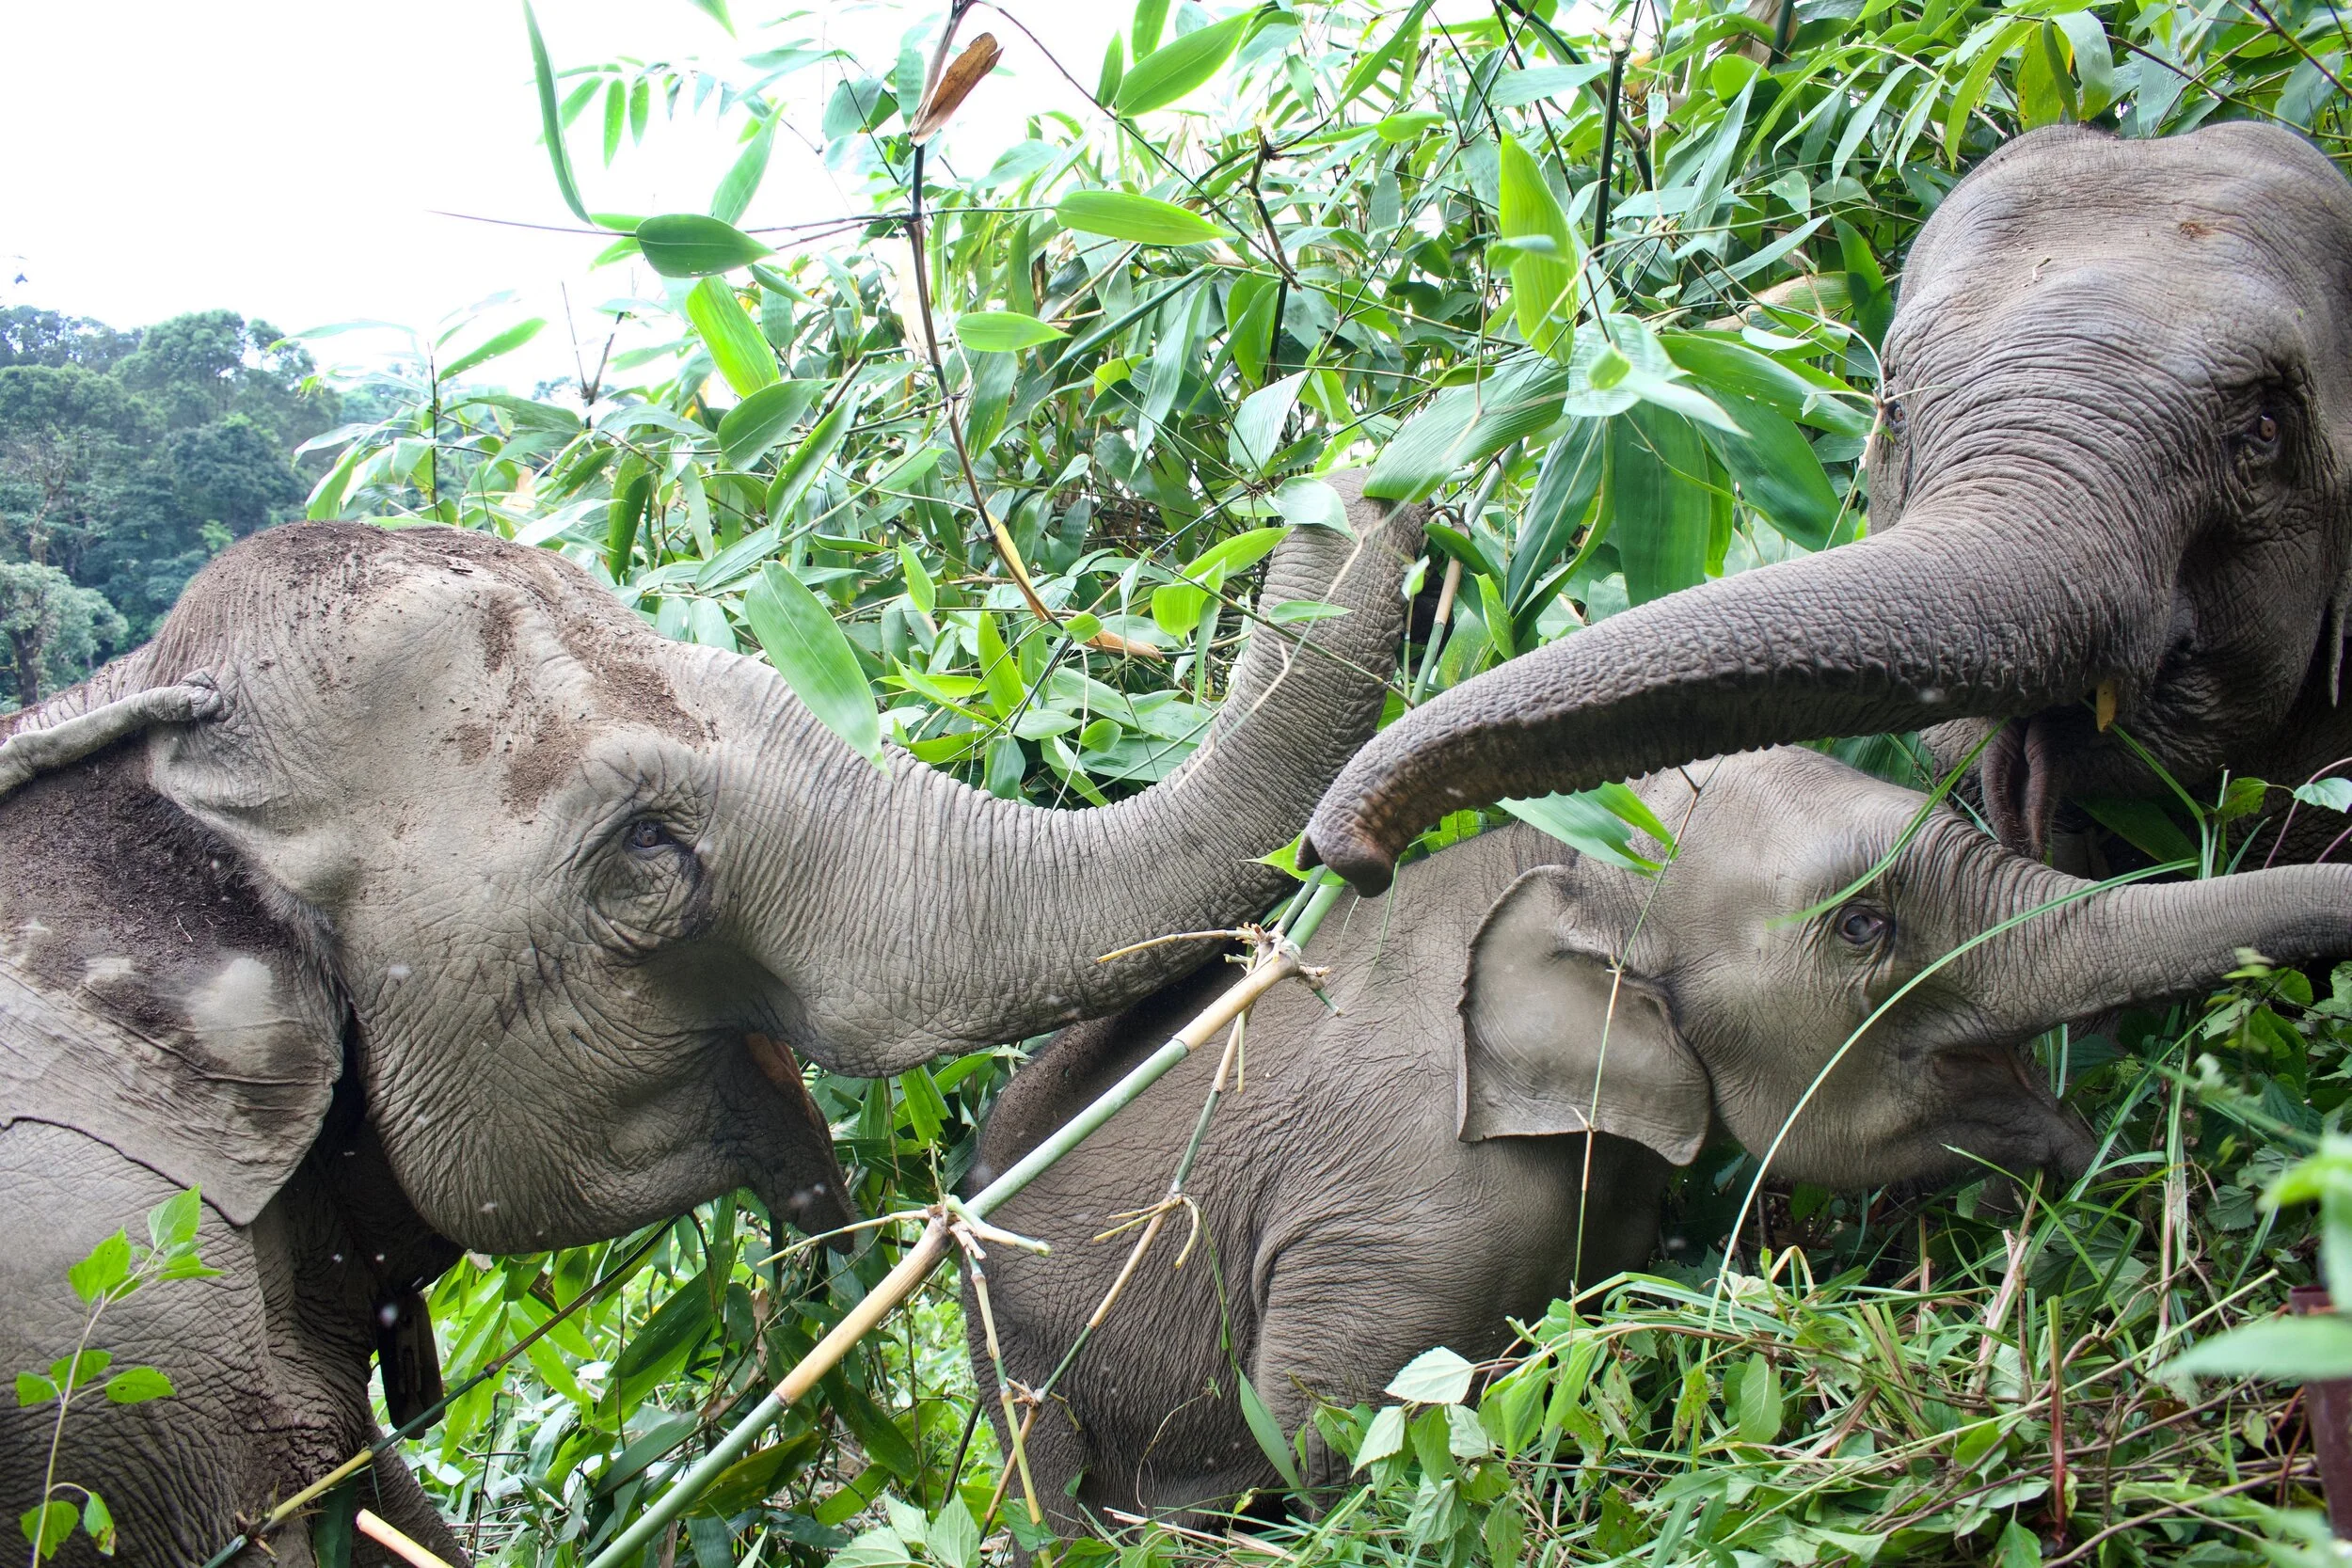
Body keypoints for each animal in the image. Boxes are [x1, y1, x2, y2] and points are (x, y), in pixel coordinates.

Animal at [969, 745, 2352, 1537]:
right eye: (1864, 925)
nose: (2103, 1145)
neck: (1564, 848)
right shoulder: (1402, 1199)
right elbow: (1328, 1424)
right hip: (1022, 1372)